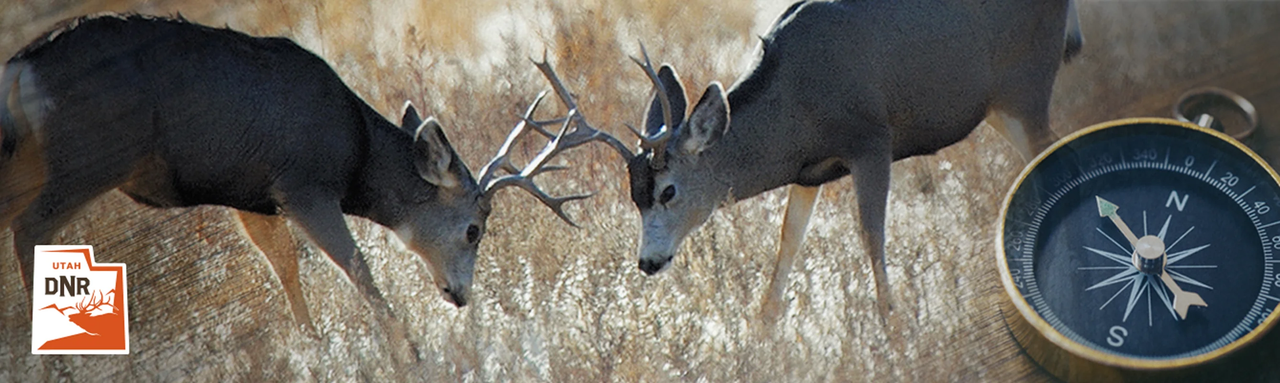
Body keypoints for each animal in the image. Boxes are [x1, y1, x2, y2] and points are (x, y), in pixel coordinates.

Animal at [0, 12, 588, 366]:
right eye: (473, 229)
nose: (460, 295)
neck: (356, 152)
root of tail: (22, 68)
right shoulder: (305, 182)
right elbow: (355, 266)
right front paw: (411, 353)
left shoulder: (254, 195)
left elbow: (282, 265)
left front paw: (314, 346)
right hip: (90, 155)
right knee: (30, 226)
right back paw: (55, 361)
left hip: (34, 158)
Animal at [550, 0, 1080, 320]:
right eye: (633, 196)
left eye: (668, 190)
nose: (647, 263)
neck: (795, 103)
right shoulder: (808, 173)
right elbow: (788, 241)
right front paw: (762, 332)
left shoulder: (871, 140)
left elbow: (871, 235)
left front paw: (894, 327)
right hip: (999, 107)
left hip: (1025, 88)